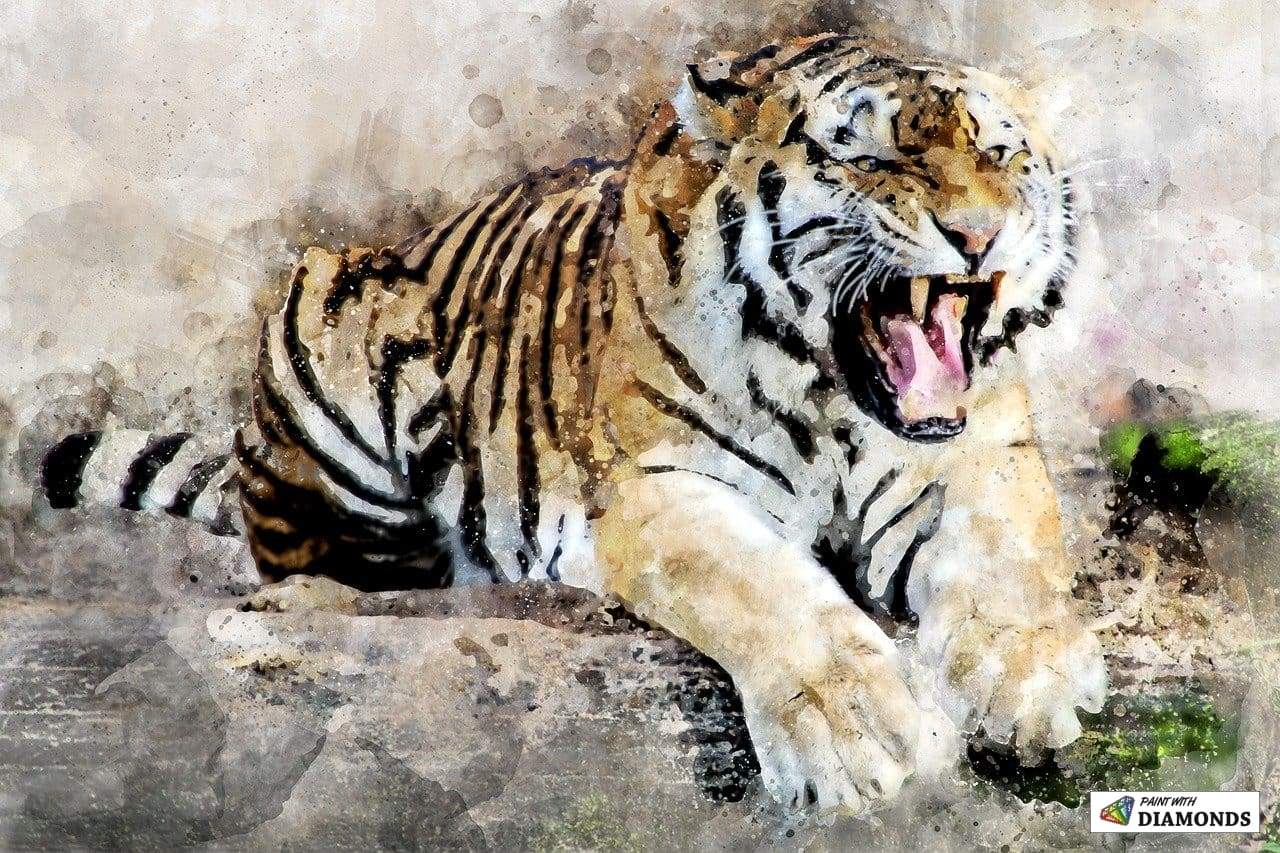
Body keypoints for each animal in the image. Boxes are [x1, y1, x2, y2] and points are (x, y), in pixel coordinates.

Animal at [40, 34, 1107, 813]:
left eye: (1000, 150)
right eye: (872, 153)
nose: (980, 233)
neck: (835, 398)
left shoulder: (979, 453)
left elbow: (1013, 552)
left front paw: (1031, 679)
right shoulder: (662, 491)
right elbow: (771, 594)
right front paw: (862, 734)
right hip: (324, 319)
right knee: (327, 559)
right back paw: (320, 601)